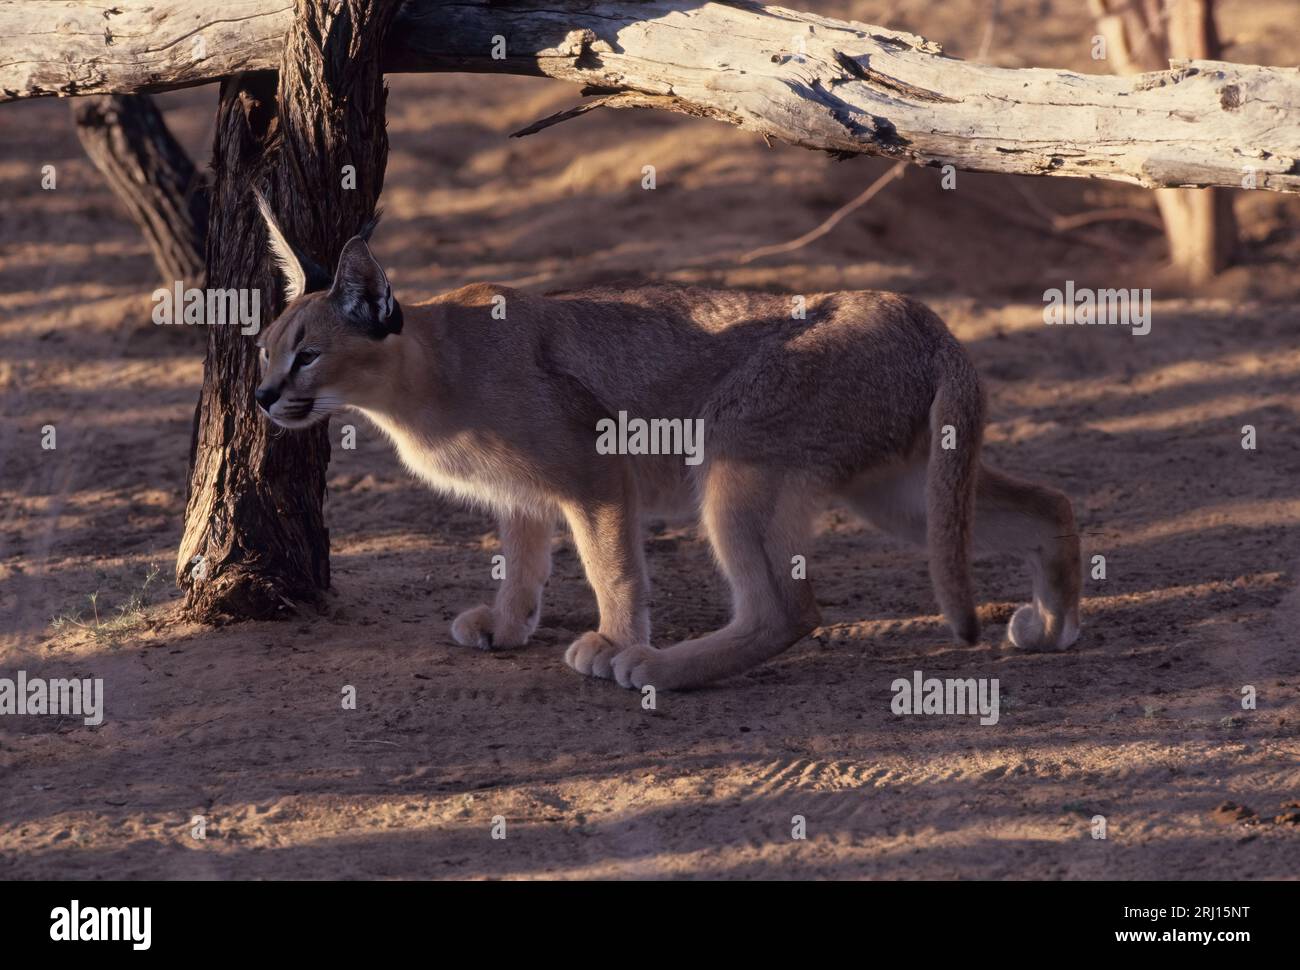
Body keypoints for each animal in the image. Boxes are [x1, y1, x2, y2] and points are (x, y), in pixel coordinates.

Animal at [250, 192, 1076, 686]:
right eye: (263, 349)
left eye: (308, 355)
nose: (261, 395)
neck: (425, 369)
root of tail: (919, 313)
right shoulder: (522, 495)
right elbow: (522, 561)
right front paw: (510, 624)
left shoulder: (593, 470)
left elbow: (611, 566)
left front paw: (612, 641)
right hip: (896, 486)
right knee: (1050, 502)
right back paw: (1055, 625)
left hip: (736, 455)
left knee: (789, 611)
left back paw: (660, 668)